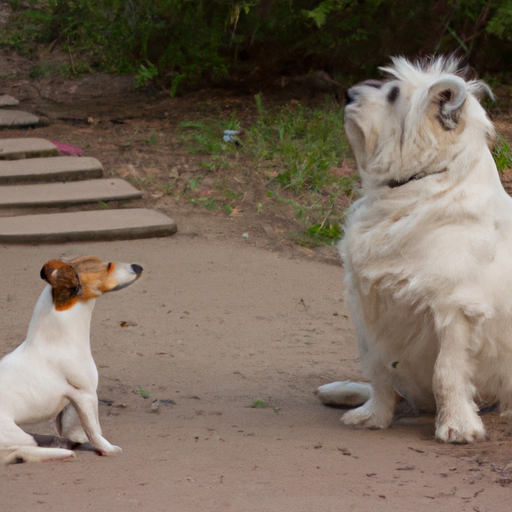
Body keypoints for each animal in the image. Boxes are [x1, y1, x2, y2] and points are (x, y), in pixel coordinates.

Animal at [0, 256, 142, 464]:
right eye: (106, 266)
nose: (138, 267)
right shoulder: (85, 395)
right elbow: (94, 430)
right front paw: (107, 449)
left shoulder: (72, 402)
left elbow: (71, 429)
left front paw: (70, 441)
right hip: (18, 435)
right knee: (20, 451)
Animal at [316, 55, 512, 440]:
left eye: (393, 95)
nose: (348, 94)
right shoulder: (371, 306)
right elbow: (379, 371)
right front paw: (373, 416)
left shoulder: (454, 310)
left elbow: (446, 373)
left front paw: (457, 426)